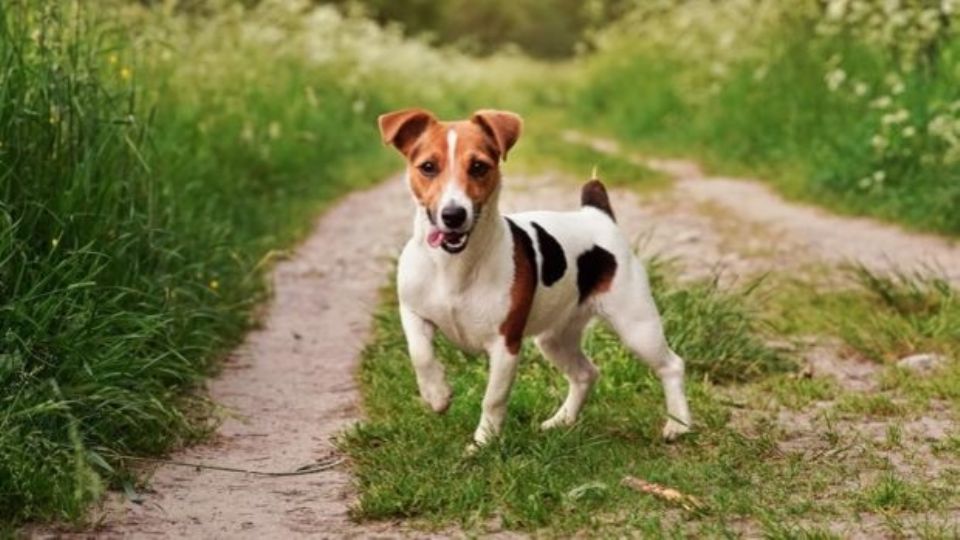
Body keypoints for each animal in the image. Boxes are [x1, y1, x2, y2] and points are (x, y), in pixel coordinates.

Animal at [376, 108, 688, 448]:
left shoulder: (506, 345)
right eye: (428, 167)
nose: (453, 215)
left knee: (671, 366)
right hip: (554, 338)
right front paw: (437, 395)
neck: (453, 263)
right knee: (586, 374)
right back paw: (562, 420)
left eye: (479, 167)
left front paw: (483, 444)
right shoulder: (412, 311)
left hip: (636, 326)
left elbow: (493, 399)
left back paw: (679, 424)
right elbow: (419, 353)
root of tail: (596, 214)